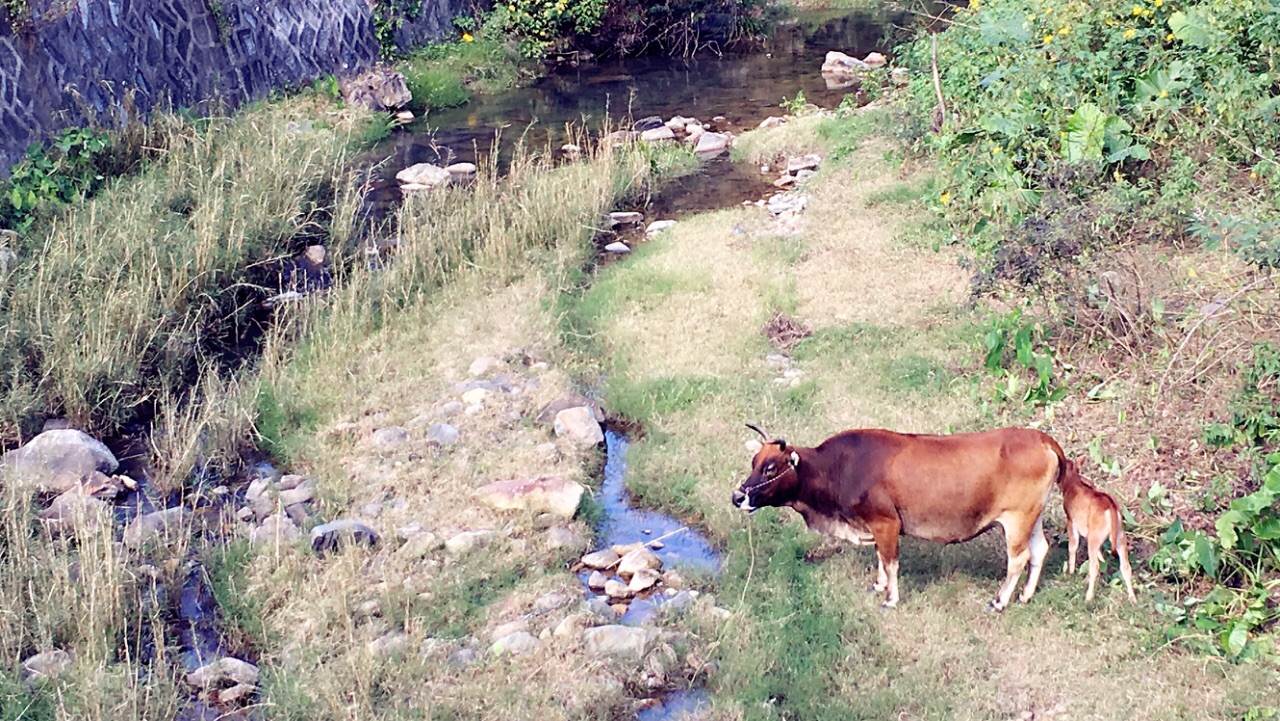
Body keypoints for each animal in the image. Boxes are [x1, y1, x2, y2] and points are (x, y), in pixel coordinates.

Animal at [732, 425, 1070, 612]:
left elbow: (891, 561)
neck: (836, 468)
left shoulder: (886, 523)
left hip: (1017, 519)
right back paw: (1025, 595)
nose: (738, 496)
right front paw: (878, 586)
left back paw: (1000, 601)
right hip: (1033, 517)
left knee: (1019, 558)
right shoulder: (874, 525)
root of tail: (1043, 439)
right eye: (754, 462)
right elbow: (881, 559)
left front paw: (890, 598)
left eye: (771, 468)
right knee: (1040, 550)